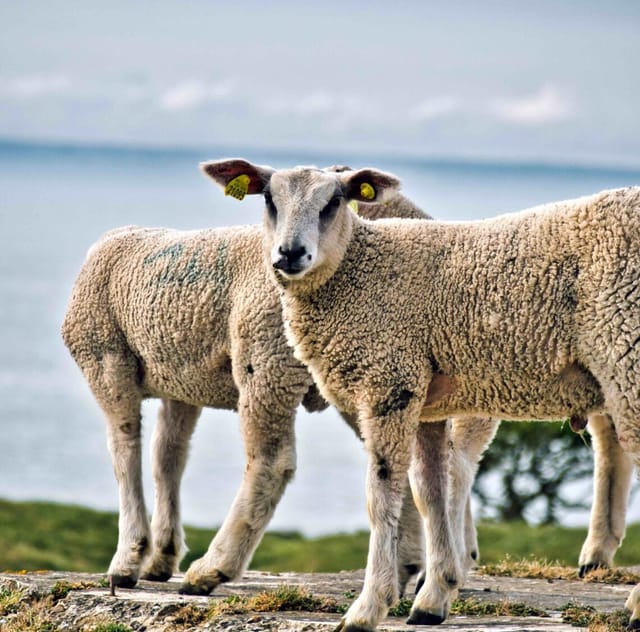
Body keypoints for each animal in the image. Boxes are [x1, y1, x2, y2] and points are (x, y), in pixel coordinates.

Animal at [61, 162, 498, 597]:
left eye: (334, 201)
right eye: (268, 198)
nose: (291, 253)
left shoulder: (105, 358)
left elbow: (125, 451)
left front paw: (129, 558)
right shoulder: (182, 381)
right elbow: (167, 457)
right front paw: (161, 556)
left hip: (265, 359)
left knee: (272, 462)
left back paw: (213, 568)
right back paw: (411, 565)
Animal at [201, 159, 640, 631]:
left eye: (334, 201)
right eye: (268, 198)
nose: (290, 254)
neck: (356, 272)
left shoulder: (389, 382)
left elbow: (381, 499)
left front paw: (367, 608)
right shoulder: (427, 401)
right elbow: (431, 495)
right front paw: (435, 594)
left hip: (625, 353)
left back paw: (632, 603)